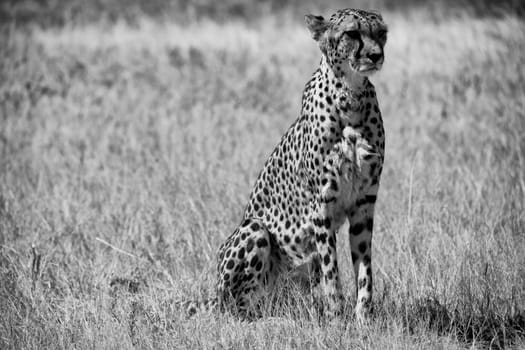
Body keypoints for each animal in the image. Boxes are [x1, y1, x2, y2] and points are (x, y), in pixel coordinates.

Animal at [184, 8, 384, 322]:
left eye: (382, 33)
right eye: (352, 33)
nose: (376, 55)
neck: (351, 97)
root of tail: (214, 296)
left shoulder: (364, 201)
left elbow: (364, 269)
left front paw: (364, 320)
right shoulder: (321, 205)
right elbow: (332, 270)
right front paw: (337, 319)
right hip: (254, 230)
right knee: (237, 309)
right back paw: (271, 320)